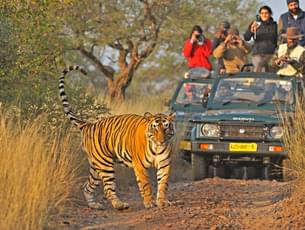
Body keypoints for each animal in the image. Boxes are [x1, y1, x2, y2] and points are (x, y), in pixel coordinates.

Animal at [58, 65, 175, 210]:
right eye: (155, 128)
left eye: (166, 127)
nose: (161, 141)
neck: (156, 148)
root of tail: (88, 124)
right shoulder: (140, 166)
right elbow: (146, 185)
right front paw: (149, 203)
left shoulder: (164, 164)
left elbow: (163, 184)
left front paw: (163, 202)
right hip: (105, 164)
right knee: (108, 188)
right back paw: (119, 205)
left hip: (96, 166)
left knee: (87, 186)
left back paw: (94, 205)